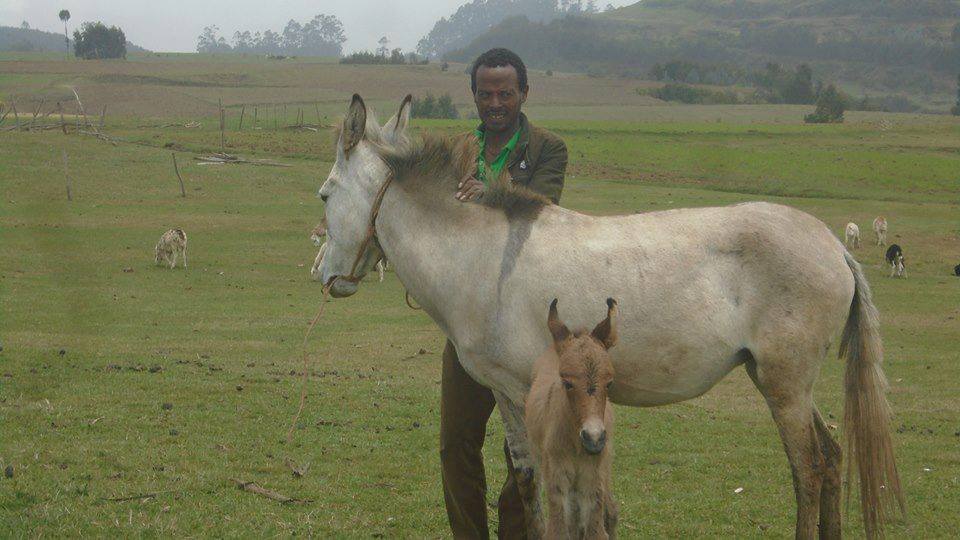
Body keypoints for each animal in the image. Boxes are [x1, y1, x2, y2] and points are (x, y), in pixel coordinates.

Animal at [524, 298, 624, 536]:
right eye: (567, 383)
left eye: (609, 383)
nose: (593, 438)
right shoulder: (558, 479)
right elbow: (560, 529)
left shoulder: (592, 480)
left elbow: (596, 529)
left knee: (610, 511)